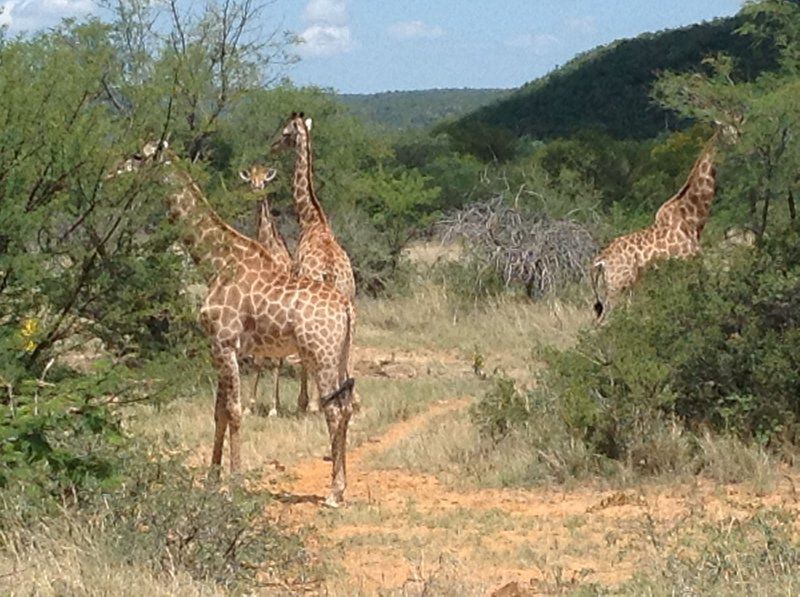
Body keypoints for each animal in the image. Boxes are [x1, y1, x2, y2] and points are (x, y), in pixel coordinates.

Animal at [113, 142, 356, 506]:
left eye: (139, 156)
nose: (112, 172)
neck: (214, 262)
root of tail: (346, 307)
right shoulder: (221, 347)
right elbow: (220, 412)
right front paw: (212, 480)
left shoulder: (224, 343)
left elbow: (236, 411)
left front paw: (235, 482)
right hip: (340, 356)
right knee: (348, 405)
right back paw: (343, 484)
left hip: (322, 356)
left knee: (336, 410)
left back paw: (333, 491)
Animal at [268, 110, 356, 410]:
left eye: (285, 133)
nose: (272, 146)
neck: (311, 219)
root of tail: (330, 274)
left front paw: (304, 401)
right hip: (349, 301)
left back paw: (317, 401)